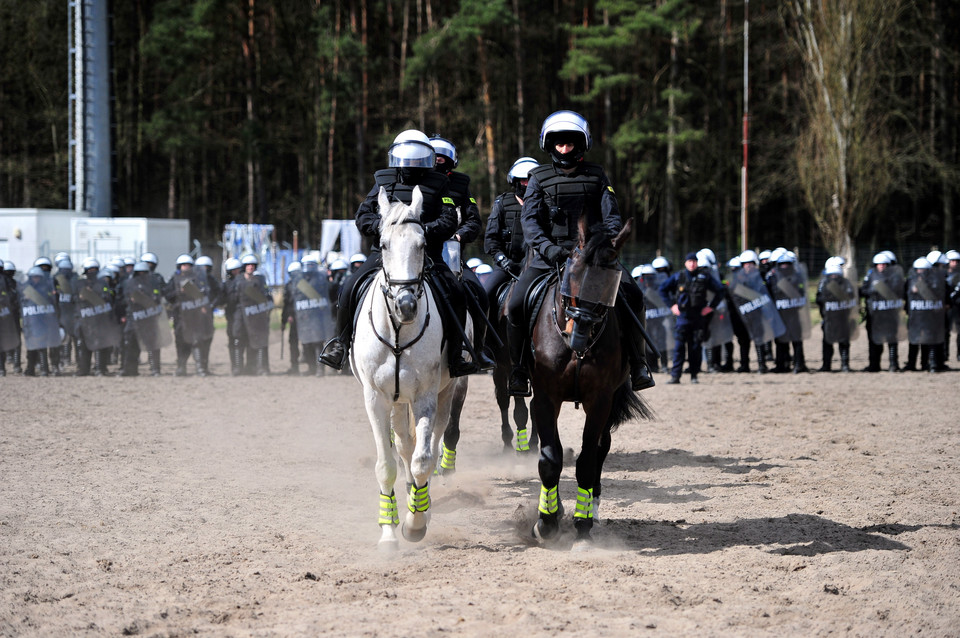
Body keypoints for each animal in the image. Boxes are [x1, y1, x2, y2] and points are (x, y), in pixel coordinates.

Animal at [352, 188, 468, 552]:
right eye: (383, 244)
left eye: (422, 244)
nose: (406, 306)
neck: (399, 333)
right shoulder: (375, 398)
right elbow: (386, 464)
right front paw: (388, 532)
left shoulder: (425, 396)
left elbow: (422, 460)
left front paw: (415, 524)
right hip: (395, 400)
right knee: (402, 445)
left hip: (444, 392)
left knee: (429, 443)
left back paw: (421, 505)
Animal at [524, 219, 652, 544]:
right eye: (573, 271)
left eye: (609, 284)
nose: (578, 335)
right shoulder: (546, 397)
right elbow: (550, 458)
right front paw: (546, 522)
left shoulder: (600, 400)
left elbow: (587, 461)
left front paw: (582, 526)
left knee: (601, 450)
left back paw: (591, 511)